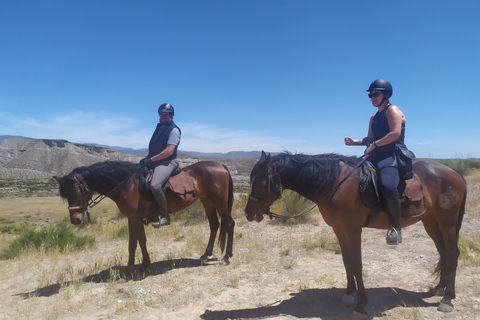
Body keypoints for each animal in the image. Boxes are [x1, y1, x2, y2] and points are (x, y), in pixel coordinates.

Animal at [55, 160, 235, 276]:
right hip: (207, 201)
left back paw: (226, 257)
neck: (127, 185)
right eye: (64, 195)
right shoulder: (137, 218)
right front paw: (144, 265)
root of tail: (221, 166)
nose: (75, 219)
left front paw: (129, 270)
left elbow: (132, 244)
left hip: (219, 201)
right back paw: (205, 255)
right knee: (214, 225)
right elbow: (142, 241)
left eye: (75, 191)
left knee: (229, 223)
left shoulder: (133, 217)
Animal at [244, 151, 464, 318]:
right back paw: (440, 288)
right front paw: (349, 294)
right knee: (443, 252)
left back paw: (447, 299)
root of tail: (455, 172)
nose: (248, 213)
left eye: (260, 180)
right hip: (431, 221)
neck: (333, 184)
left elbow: (357, 264)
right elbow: (347, 262)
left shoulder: (352, 229)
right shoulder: (339, 229)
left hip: (447, 221)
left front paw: (361, 305)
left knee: (452, 253)